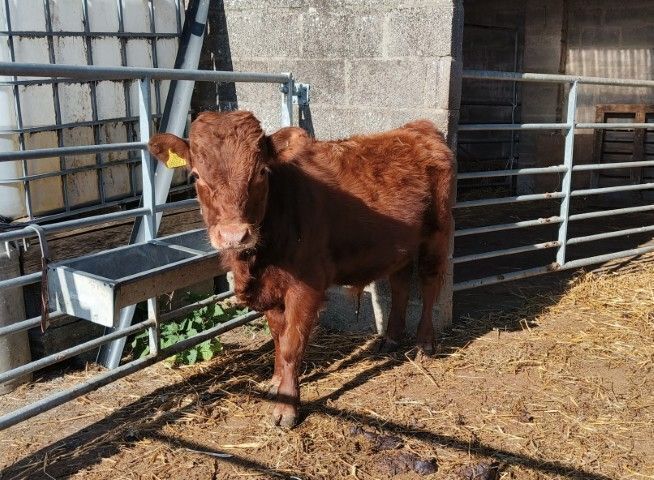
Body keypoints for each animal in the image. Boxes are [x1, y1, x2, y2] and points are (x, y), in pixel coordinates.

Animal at [148, 111, 455, 428]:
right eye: (196, 175)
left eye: (261, 172)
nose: (234, 235)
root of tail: (417, 128)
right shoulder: (270, 289)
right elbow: (277, 337)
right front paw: (275, 382)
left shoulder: (306, 287)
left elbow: (291, 345)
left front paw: (287, 406)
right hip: (401, 244)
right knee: (400, 282)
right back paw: (391, 338)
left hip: (437, 232)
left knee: (430, 282)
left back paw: (424, 344)